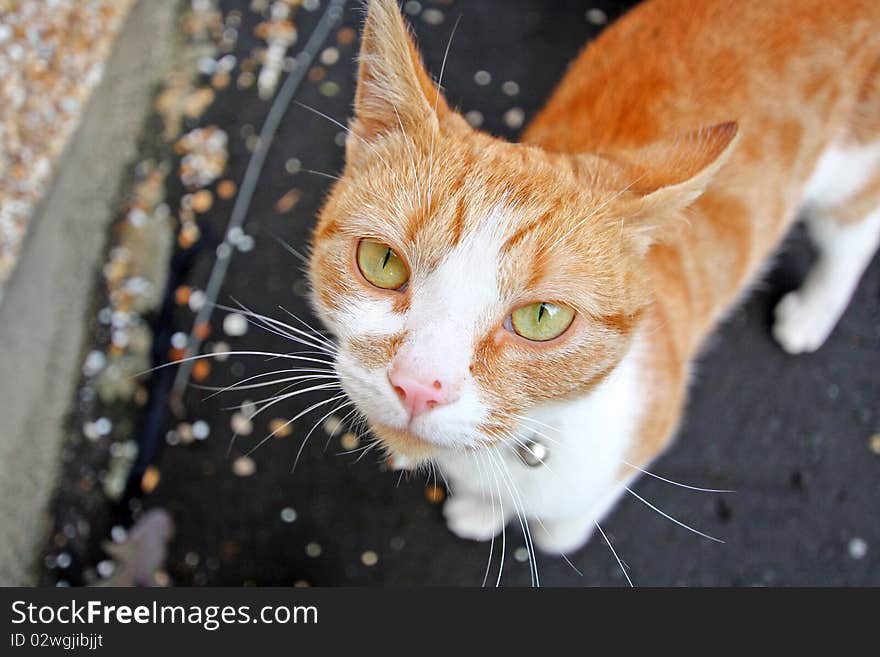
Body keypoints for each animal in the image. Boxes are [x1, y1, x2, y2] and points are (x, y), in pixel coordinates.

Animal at [308, 0, 880, 560]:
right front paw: (483, 507)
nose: (418, 386)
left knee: (854, 232)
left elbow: (566, 525)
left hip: (852, 163)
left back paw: (812, 312)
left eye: (542, 318)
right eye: (384, 262)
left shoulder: (646, 427)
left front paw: (534, 524)